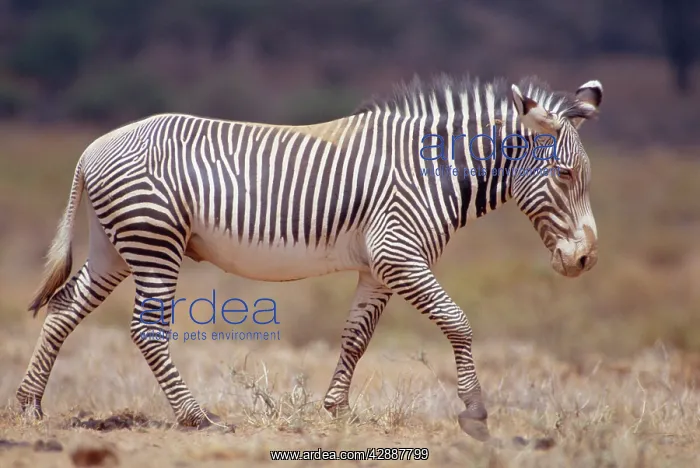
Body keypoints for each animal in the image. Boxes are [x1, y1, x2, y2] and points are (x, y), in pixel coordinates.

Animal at [18, 74, 602, 442]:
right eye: (565, 175)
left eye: (584, 176)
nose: (585, 261)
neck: (430, 170)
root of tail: (91, 149)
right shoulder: (398, 253)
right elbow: (457, 321)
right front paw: (476, 412)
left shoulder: (378, 266)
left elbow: (356, 336)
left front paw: (337, 410)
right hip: (154, 240)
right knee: (146, 330)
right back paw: (196, 418)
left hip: (116, 246)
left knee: (64, 310)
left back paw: (28, 406)